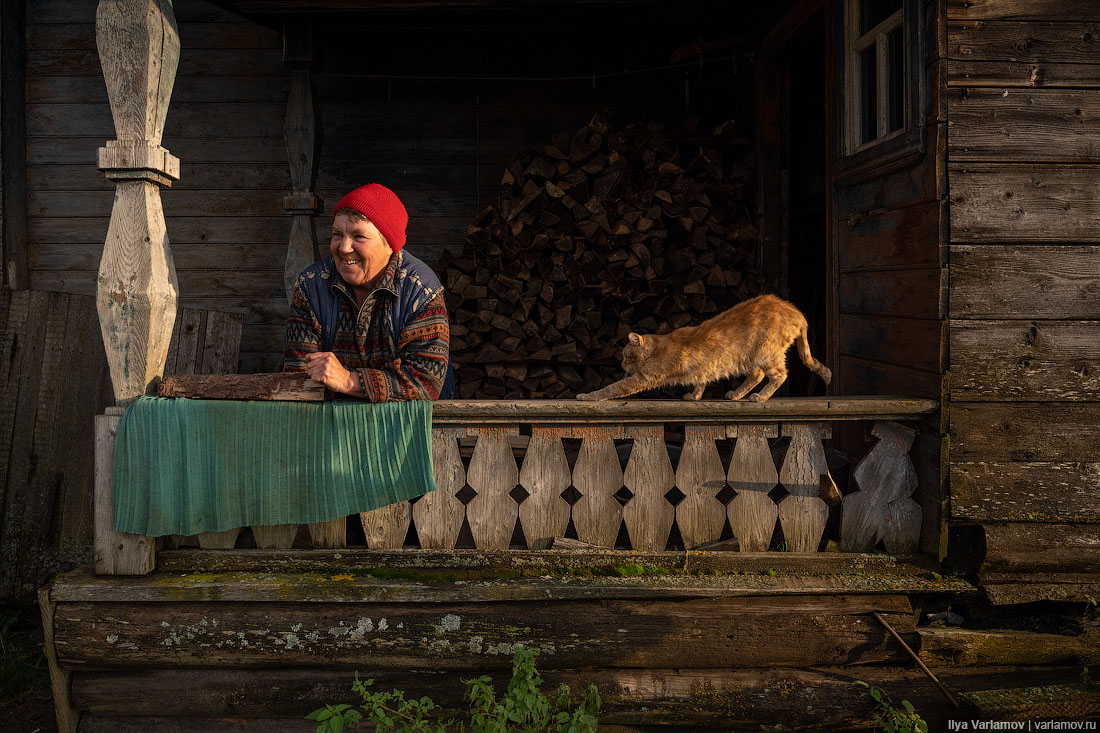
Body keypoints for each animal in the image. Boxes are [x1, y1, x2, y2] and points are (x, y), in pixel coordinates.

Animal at [580, 294, 827, 402]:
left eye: (625, 356)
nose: (621, 364)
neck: (657, 346)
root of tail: (797, 312)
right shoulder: (702, 367)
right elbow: (701, 380)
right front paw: (694, 396)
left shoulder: (643, 378)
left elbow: (611, 388)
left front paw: (587, 396)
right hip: (749, 357)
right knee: (756, 375)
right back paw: (736, 394)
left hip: (766, 353)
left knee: (779, 375)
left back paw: (761, 397)